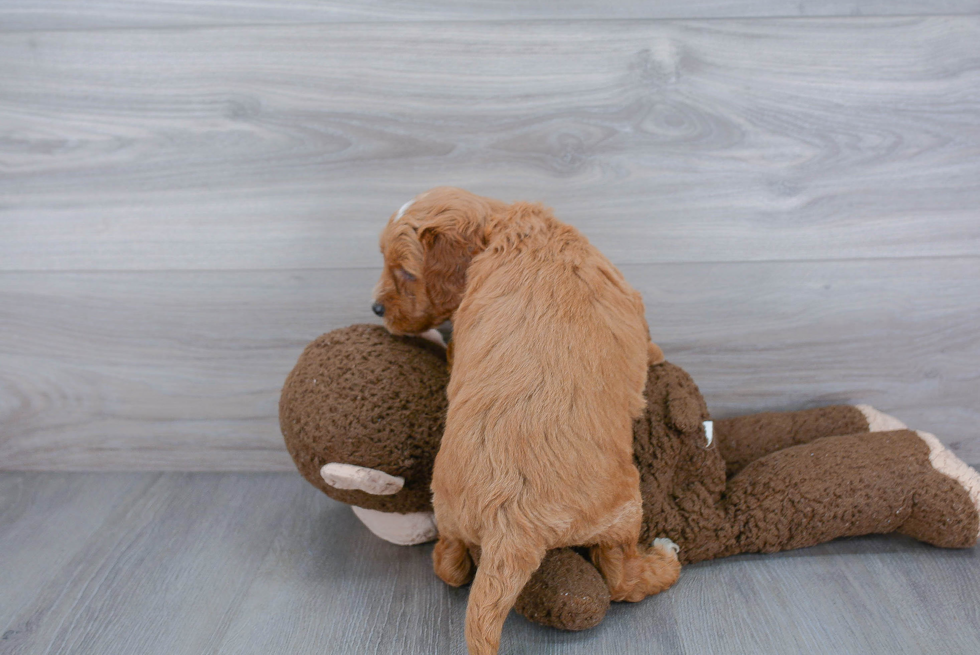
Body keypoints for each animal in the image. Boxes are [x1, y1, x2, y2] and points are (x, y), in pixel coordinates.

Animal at [372, 186, 676, 655]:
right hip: (623, 509)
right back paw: (664, 560)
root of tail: (510, 523)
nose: (375, 308)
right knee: (622, 578)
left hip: (449, 511)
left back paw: (446, 559)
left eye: (404, 272)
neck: (512, 229)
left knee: (450, 566)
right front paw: (658, 355)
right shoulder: (629, 301)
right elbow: (646, 343)